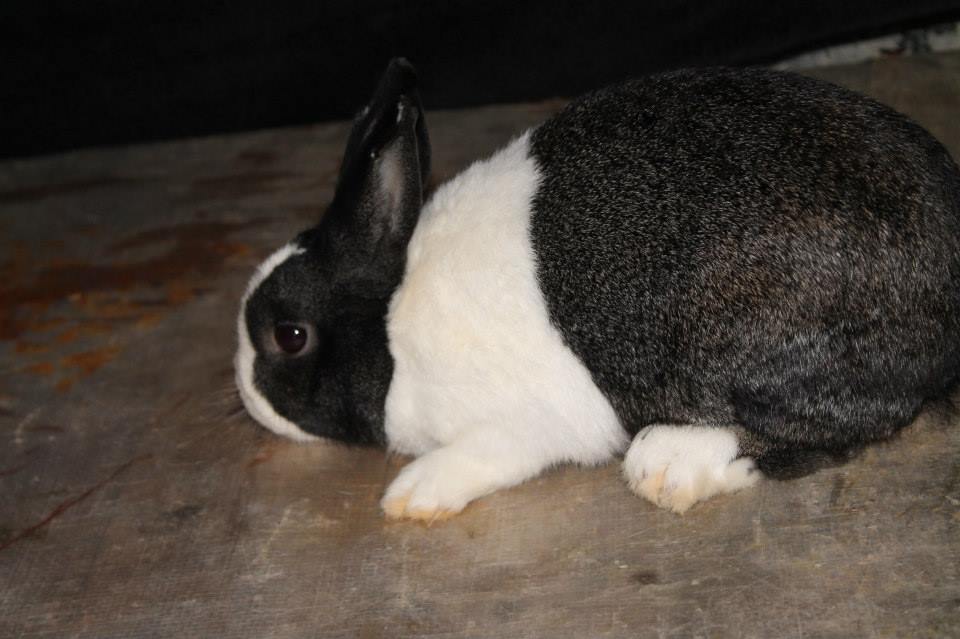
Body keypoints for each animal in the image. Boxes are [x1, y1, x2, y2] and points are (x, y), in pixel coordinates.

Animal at [235, 58, 960, 521]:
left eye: (289, 336)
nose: (246, 395)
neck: (392, 326)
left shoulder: (519, 424)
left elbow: (483, 454)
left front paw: (413, 496)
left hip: (762, 352)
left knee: (836, 431)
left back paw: (669, 463)